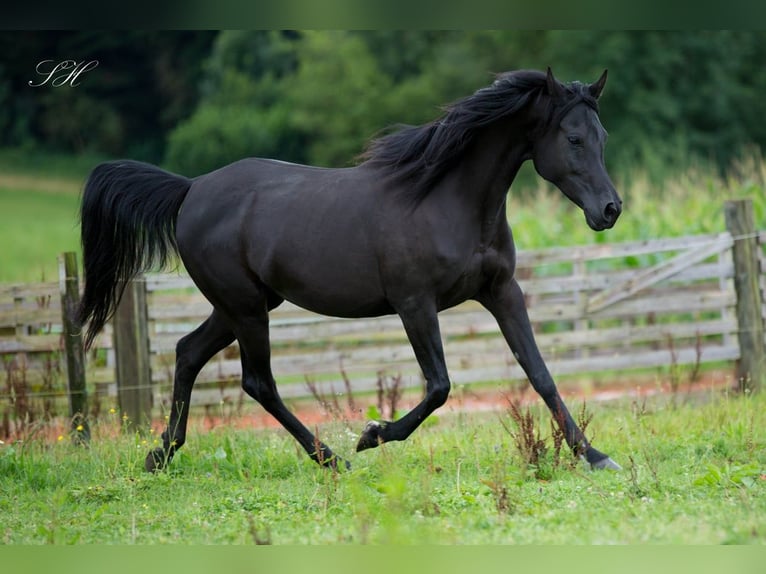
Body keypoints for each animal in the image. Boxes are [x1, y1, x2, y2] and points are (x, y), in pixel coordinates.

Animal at [79, 68, 624, 472]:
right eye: (573, 138)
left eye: (602, 135)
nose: (611, 210)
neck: (448, 200)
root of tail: (190, 190)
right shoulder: (414, 304)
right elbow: (440, 386)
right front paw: (372, 434)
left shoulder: (502, 291)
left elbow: (540, 373)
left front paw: (596, 456)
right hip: (246, 308)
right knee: (258, 382)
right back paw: (332, 458)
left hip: (241, 305)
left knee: (188, 352)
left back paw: (162, 454)